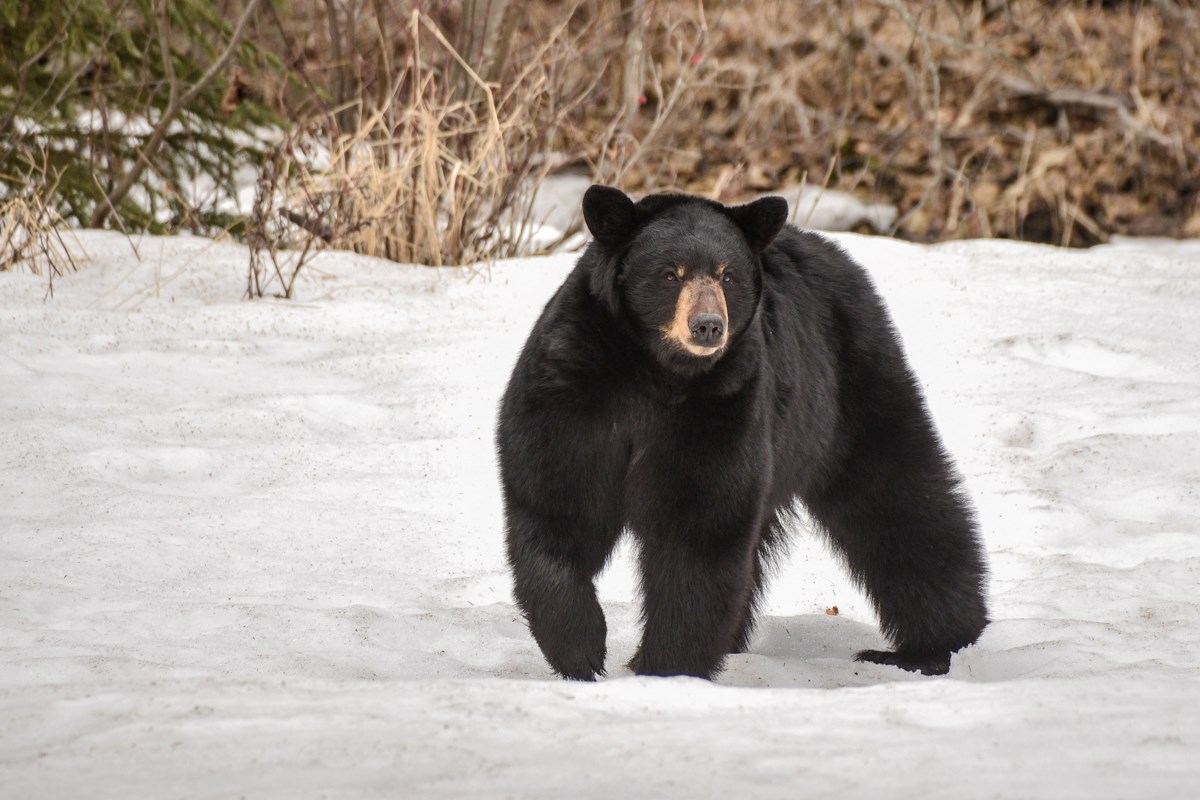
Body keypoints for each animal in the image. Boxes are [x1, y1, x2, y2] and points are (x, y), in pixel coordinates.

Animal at [496, 185, 988, 680]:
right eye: (670, 274)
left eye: (727, 275)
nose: (708, 325)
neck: (655, 371)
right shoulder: (573, 387)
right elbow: (558, 503)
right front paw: (580, 649)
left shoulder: (721, 403)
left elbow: (698, 521)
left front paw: (666, 666)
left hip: (847, 388)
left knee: (898, 495)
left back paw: (930, 645)